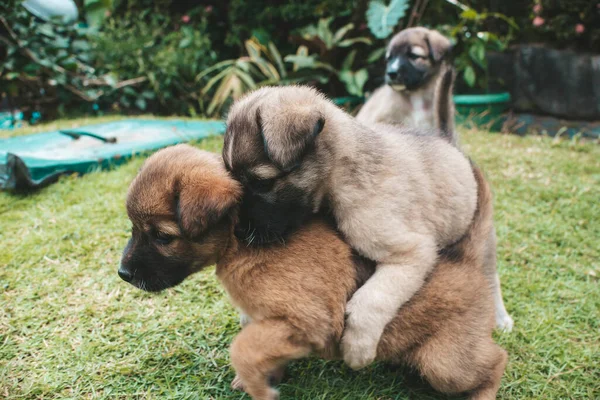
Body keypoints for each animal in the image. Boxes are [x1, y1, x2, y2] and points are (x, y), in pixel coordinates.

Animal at [117, 144, 506, 400]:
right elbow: (256, 345)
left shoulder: (308, 320)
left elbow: (242, 348)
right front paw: (266, 377)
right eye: (133, 228)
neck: (243, 239)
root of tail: (465, 259)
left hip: (445, 363)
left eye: (163, 236)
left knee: (495, 361)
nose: (123, 273)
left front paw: (260, 389)